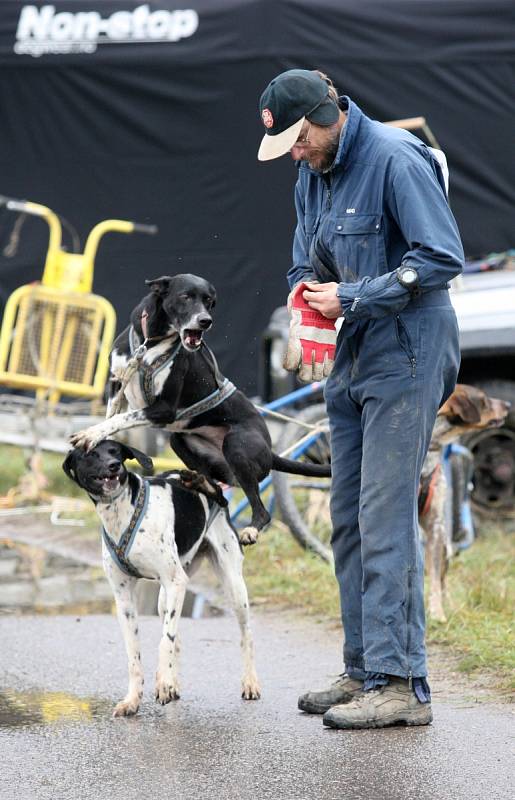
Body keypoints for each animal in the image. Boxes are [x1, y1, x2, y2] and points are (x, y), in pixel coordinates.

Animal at [62, 440, 260, 716]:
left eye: (115, 452)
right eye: (90, 454)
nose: (114, 466)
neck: (121, 512)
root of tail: (212, 487)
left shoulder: (176, 581)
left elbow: (164, 641)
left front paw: (163, 683)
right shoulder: (124, 598)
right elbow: (135, 655)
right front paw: (133, 699)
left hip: (233, 587)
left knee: (246, 635)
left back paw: (249, 682)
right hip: (164, 599)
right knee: (176, 635)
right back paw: (173, 682)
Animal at [69, 274, 330, 544]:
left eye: (209, 301)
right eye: (185, 297)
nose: (205, 321)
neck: (149, 344)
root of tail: (270, 449)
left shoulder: (163, 409)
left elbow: (123, 418)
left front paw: (90, 434)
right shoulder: (116, 385)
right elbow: (112, 417)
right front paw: (97, 439)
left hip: (236, 446)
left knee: (260, 509)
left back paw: (251, 529)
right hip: (181, 443)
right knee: (220, 493)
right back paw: (199, 482)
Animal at [422, 384, 510, 620]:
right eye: (484, 399)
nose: (509, 404)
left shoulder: (435, 525)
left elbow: (435, 580)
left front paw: (437, 613)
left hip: (443, 543)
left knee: (440, 576)